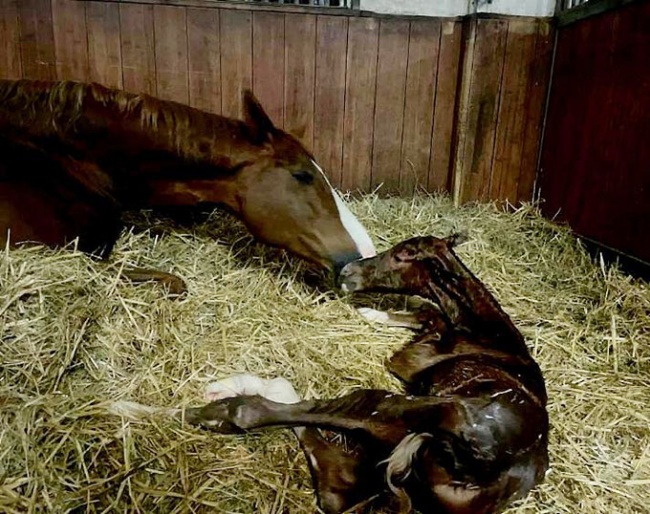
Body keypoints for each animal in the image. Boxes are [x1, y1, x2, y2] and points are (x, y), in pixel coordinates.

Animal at [112, 234, 548, 510]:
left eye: (401, 254)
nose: (347, 273)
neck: (491, 335)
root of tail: (479, 466)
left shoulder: (413, 362)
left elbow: (426, 321)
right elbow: (428, 312)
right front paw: (372, 312)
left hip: (406, 410)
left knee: (285, 409)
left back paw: (163, 405)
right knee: (334, 488)